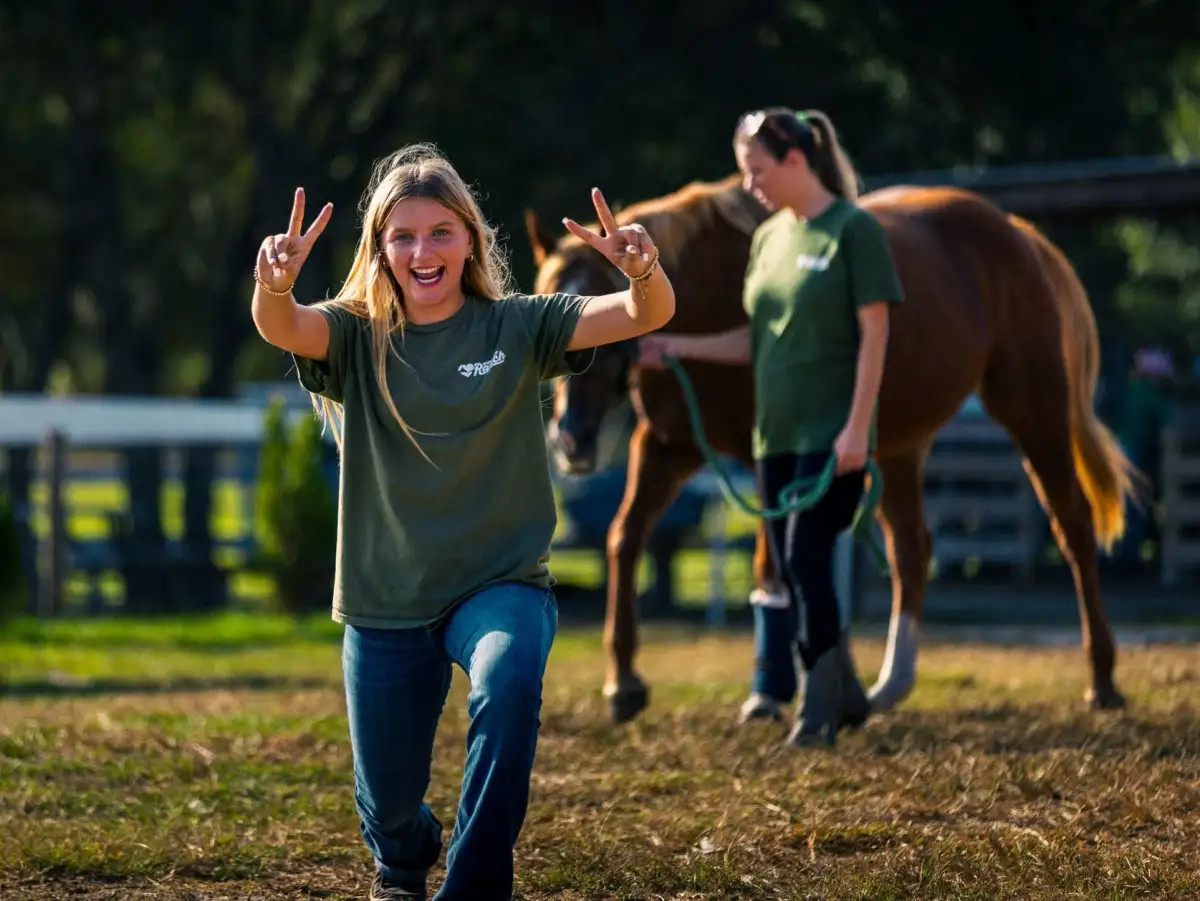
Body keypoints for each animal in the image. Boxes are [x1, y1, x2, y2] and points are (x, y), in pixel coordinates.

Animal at [525, 173, 1142, 725]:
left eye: (594, 313)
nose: (570, 439)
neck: (711, 297)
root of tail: (1019, 235)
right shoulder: (669, 446)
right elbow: (624, 538)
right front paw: (624, 684)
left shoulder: (765, 457)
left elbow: (771, 567)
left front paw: (768, 694)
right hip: (898, 444)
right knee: (911, 547)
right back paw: (889, 685)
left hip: (1034, 410)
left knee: (1073, 526)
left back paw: (1103, 680)